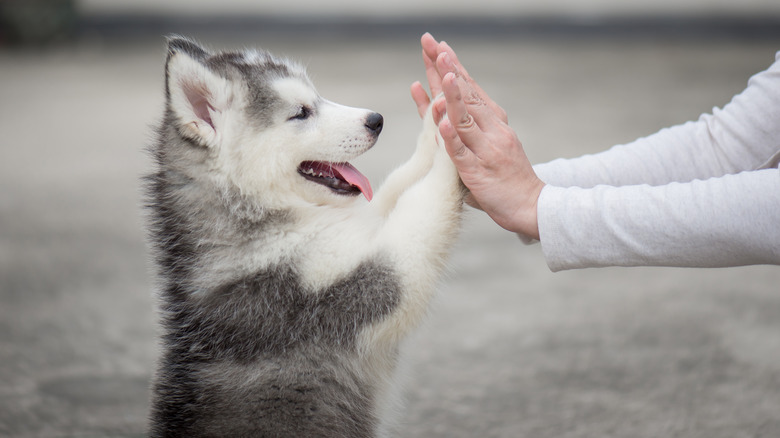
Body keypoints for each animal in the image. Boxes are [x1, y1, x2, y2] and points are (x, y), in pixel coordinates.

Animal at [145, 36, 464, 436]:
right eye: (301, 112)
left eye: (317, 97)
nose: (376, 120)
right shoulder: (348, 288)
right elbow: (421, 206)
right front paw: (455, 139)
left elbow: (396, 187)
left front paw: (436, 122)